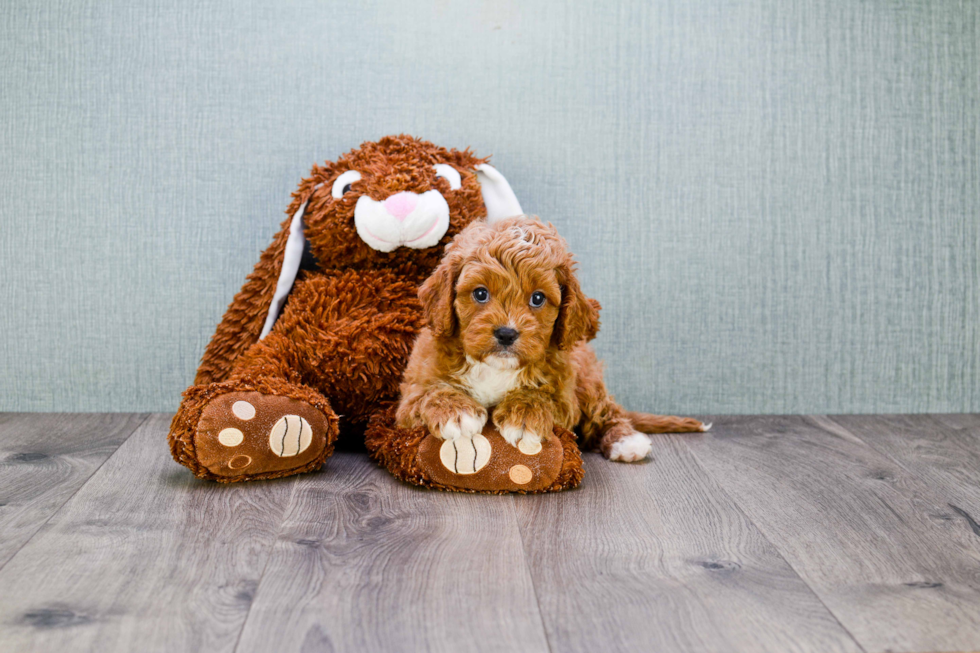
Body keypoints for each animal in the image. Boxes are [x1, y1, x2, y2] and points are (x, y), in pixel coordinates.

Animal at [167, 135, 528, 478]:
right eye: (346, 187)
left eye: (444, 176)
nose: (401, 204)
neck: (385, 273)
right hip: (282, 352)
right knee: (262, 367)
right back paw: (246, 417)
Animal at [394, 216, 708, 460]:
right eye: (480, 293)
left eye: (538, 298)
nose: (506, 333)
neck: (496, 367)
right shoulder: (411, 393)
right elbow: (430, 393)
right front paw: (457, 413)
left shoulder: (565, 396)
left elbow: (542, 396)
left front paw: (523, 417)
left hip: (588, 380)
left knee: (607, 411)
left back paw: (626, 441)